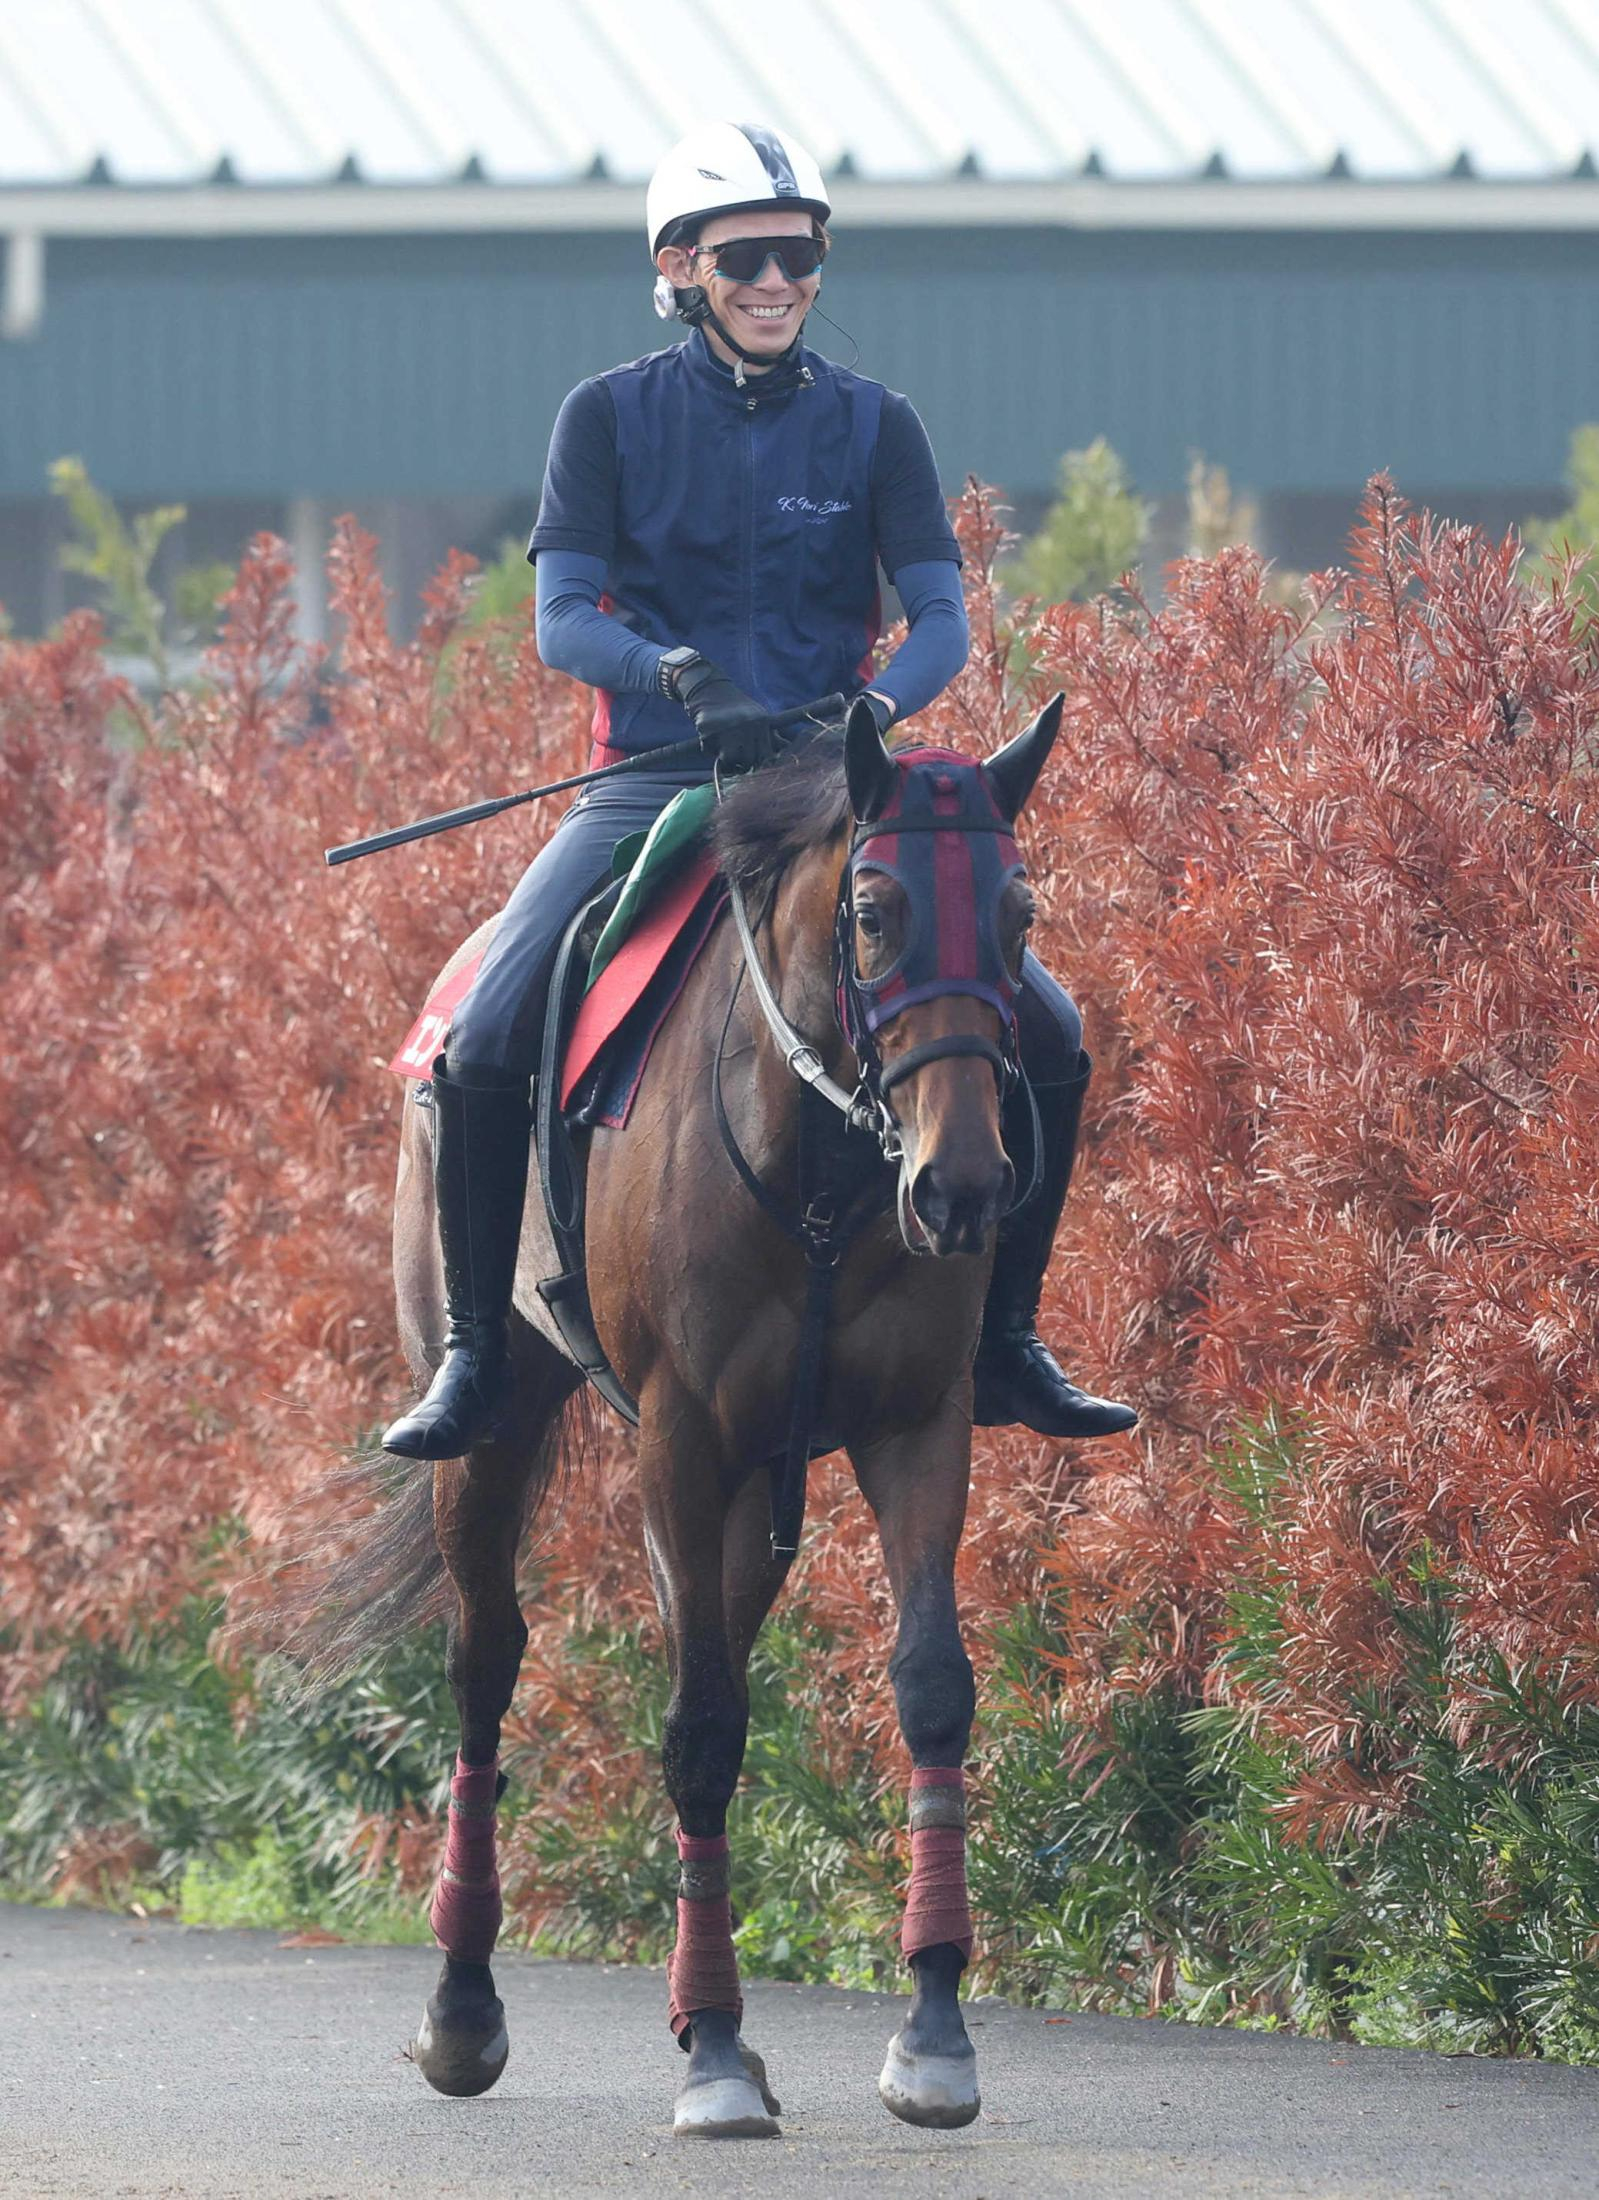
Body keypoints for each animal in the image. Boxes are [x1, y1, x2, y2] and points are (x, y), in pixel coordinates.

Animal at [324, 692, 1063, 2138]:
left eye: (1017, 915)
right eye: (873, 909)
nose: (960, 1188)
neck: (822, 1157)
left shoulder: (915, 1427)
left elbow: (930, 1688)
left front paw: (932, 2030)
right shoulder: (682, 1436)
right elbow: (701, 1732)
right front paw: (714, 2050)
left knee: (707, 1636)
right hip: (495, 1437)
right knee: (484, 1665)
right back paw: (461, 2008)